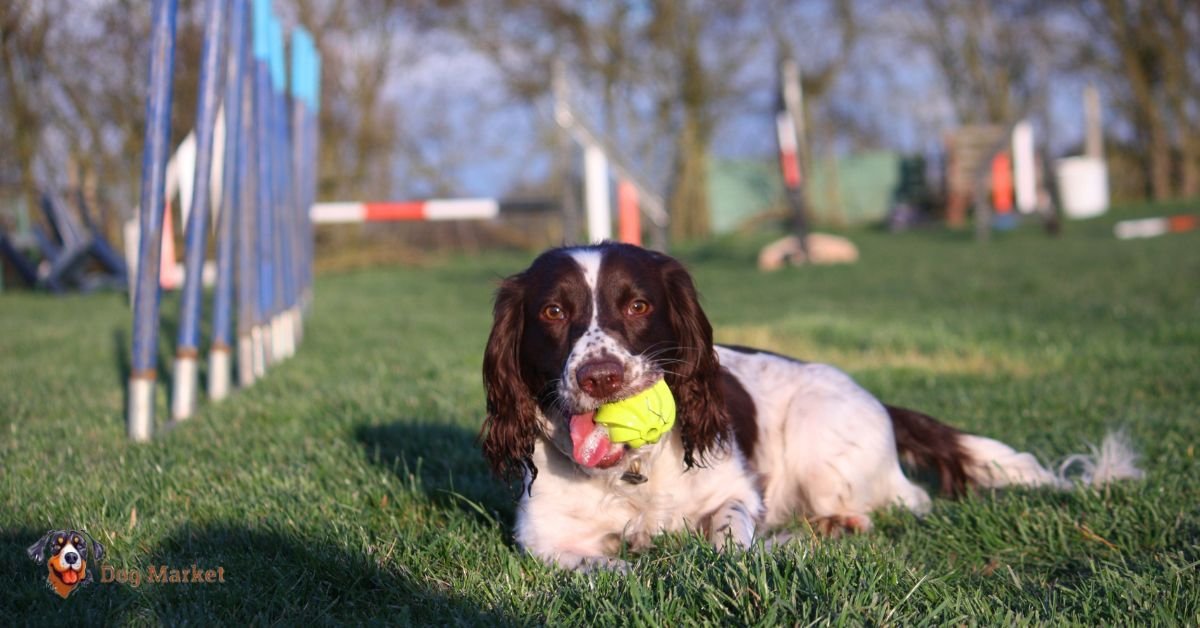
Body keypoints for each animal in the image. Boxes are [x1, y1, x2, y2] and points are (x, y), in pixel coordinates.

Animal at [480, 243, 1142, 571]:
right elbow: (598, 567)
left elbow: (729, 534)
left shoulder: (736, 491)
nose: (600, 377)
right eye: (553, 311)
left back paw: (835, 525)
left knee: (908, 501)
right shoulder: (542, 537)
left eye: (638, 305)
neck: (631, 472)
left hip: (821, 435)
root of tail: (881, 401)